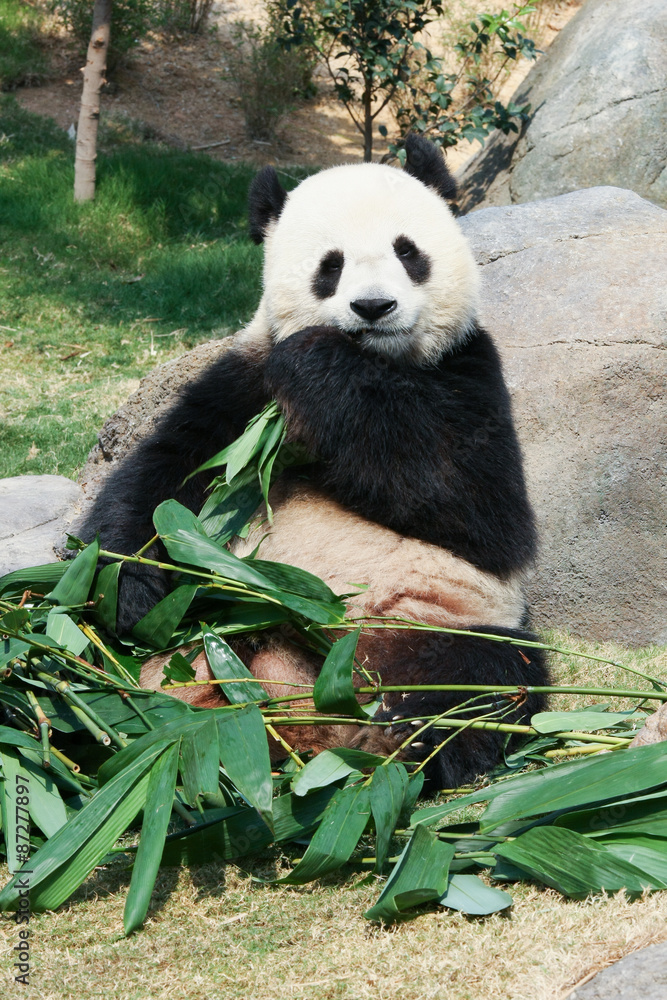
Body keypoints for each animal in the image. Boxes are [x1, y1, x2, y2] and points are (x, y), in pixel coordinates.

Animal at [79, 134, 548, 789]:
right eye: (331, 265)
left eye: (408, 252)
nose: (373, 306)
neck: (377, 362)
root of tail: (308, 711)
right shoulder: (242, 389)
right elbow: (166, 478)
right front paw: (126, 586)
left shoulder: (467, 371)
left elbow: (478, 510)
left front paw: (320, 367)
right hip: (209, 621)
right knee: (108, 670)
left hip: (435, 622)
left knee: (488, 675)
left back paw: (418, 740)